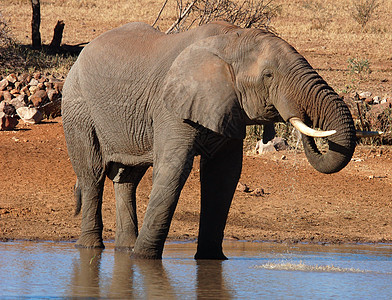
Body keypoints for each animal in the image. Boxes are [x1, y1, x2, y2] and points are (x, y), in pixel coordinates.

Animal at [62, 21, 358, 260]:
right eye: (268, 75)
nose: (299, 116)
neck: (231, 40)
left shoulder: (229, 108)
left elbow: (223, 176)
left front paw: (212, 260)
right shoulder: (171, 107)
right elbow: (173, 169)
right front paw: (144, 259)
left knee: (127, 179)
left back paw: (126, 248)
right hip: (78, 108)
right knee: (92, 175)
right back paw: (93, 248)